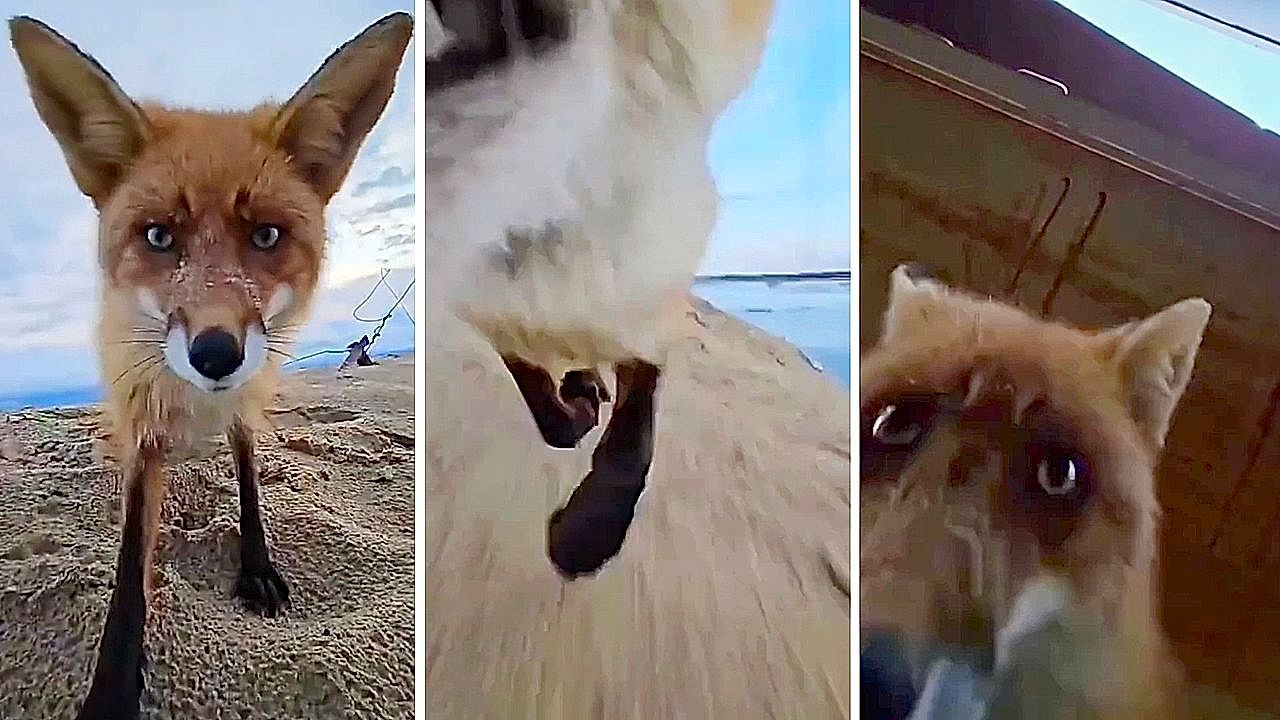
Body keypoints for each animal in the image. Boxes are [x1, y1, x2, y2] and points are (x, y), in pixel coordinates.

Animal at [10, 12, 412, 720]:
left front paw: (255, 562)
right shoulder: (142, 414)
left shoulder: (249, 395)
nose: (216, 354)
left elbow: (248, 472)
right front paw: (112, 687)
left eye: (267, 236)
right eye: (158, 236)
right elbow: (130, 567)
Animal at [425, 0, 774, 578]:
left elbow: (631, 440)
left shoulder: (646, 310)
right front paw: (575, 410)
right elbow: (547, 412)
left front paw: (589, 532)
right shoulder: (494, 315)